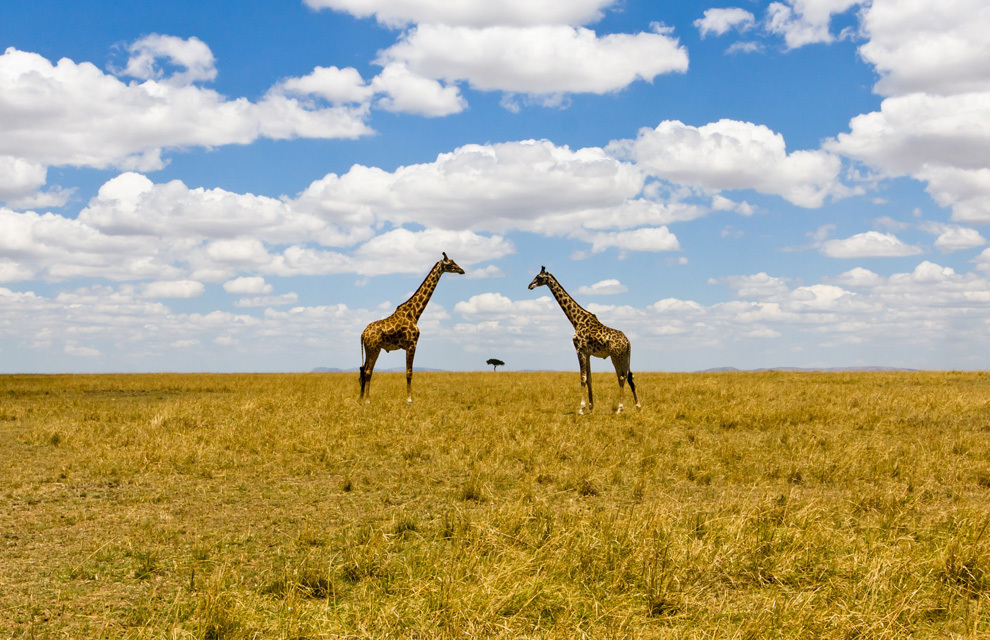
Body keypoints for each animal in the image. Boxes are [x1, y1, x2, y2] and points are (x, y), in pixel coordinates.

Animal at [360, 252, 464, 402]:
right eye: (450, 263)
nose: (462, 270)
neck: (415, 314)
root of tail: (363, 333)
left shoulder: (410, 345)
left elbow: (408, 372)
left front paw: (409, 398)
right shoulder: (412, 344)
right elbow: (409, 372)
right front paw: (409, 400)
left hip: (370, 349)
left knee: (364, 370)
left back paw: (361, 398)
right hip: (374, 348)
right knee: (368, 371)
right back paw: (367, 400)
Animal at [528, 266, 644, 412]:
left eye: (539, 277)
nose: (530, 285)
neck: (576, 320)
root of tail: (628, 342)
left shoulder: (579, 350)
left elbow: (582, 377)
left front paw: (581, 408)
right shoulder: (588, 353)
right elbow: (589, 378)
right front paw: (590, 407)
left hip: (615, 356)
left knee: (621, 377)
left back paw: (620, 408)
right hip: (625, 356)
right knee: (630, 376)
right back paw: (638, 406)